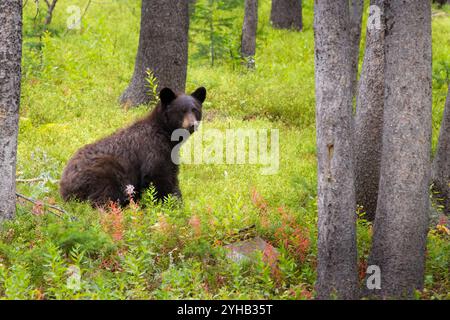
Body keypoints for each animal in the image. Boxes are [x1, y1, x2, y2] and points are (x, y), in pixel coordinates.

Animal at [59, 87, 207, 208]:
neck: (167, 136)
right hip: (103, 171)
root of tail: (63, 187)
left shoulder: (170, 156)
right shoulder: (153, 151)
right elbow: (159, 178)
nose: (192, 125)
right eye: (181, 111)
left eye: (195, 109)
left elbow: (172, 177)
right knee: (105, 195)